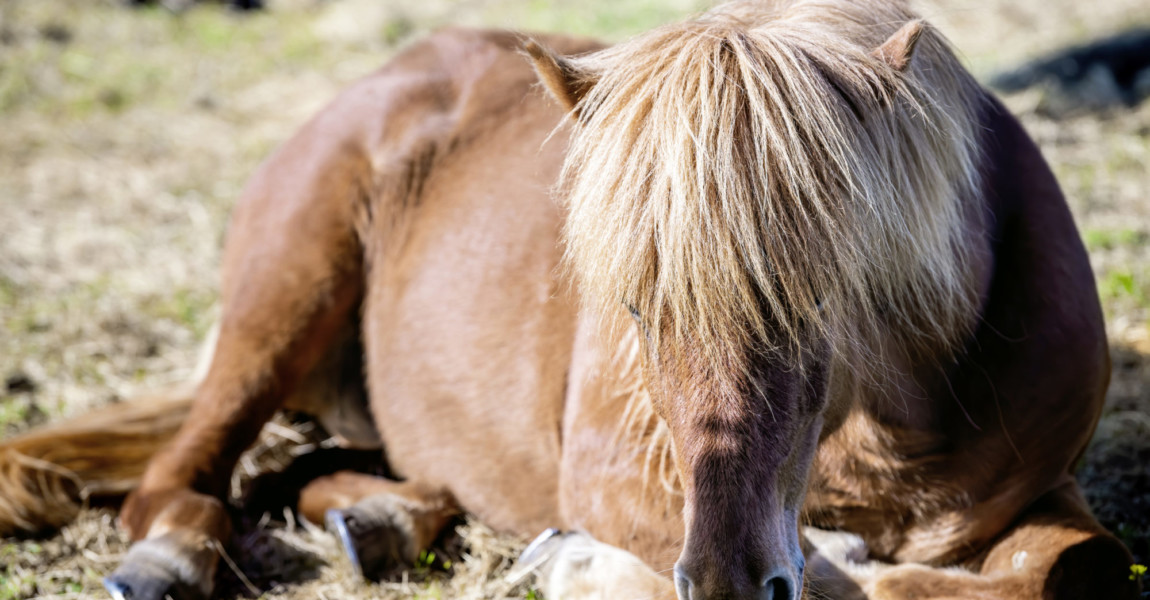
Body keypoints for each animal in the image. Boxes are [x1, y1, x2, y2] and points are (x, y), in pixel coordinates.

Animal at [0, 1, 1136, 597]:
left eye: (822, 296)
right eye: (631, 309)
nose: (727, 584)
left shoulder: (1041, 494)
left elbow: (1069, 570)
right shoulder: (618, 475)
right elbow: (846, 572)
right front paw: (587, 564)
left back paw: (380, 518)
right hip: (285, 293)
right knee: (185, 474)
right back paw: (170, 556)